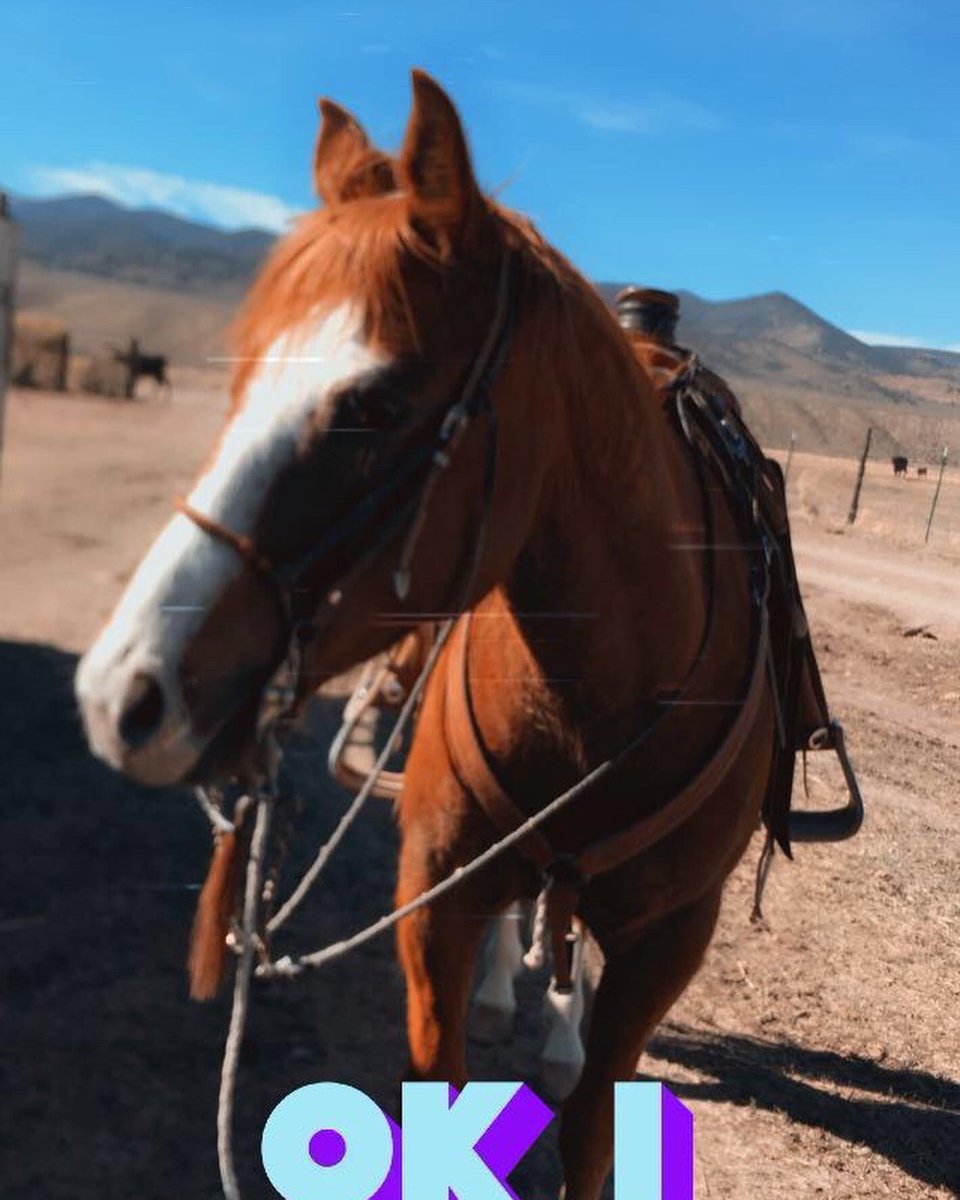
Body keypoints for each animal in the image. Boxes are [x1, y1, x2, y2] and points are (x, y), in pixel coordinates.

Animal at [75, 72, 859, 1199]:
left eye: (374, 402)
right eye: (238, 377)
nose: (123, 695)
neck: (606, 682)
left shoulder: (671, 941)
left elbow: (592, 1123)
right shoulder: (430, 901)